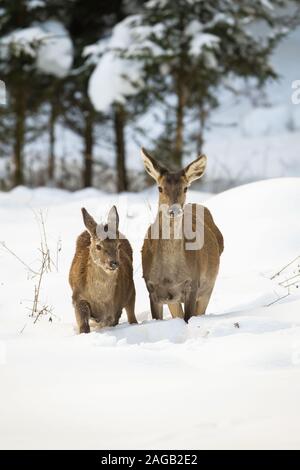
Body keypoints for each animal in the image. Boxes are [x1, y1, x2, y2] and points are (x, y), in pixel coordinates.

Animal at [141, 148, 223, 324]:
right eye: (160, 188)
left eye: (185, 188)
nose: (174, 210)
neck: (169, 276)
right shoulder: (152, 288)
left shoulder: (192, 283)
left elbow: (188, 317)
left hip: (208, 287)